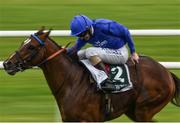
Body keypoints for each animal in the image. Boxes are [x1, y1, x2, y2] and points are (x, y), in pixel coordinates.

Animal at [3, 29, 180, 121]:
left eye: (31, 47)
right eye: (23, 43)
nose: (7, 63)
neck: (71, 81)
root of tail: (167, 72)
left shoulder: (88, 119)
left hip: (144, 110)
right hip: (134, 111)